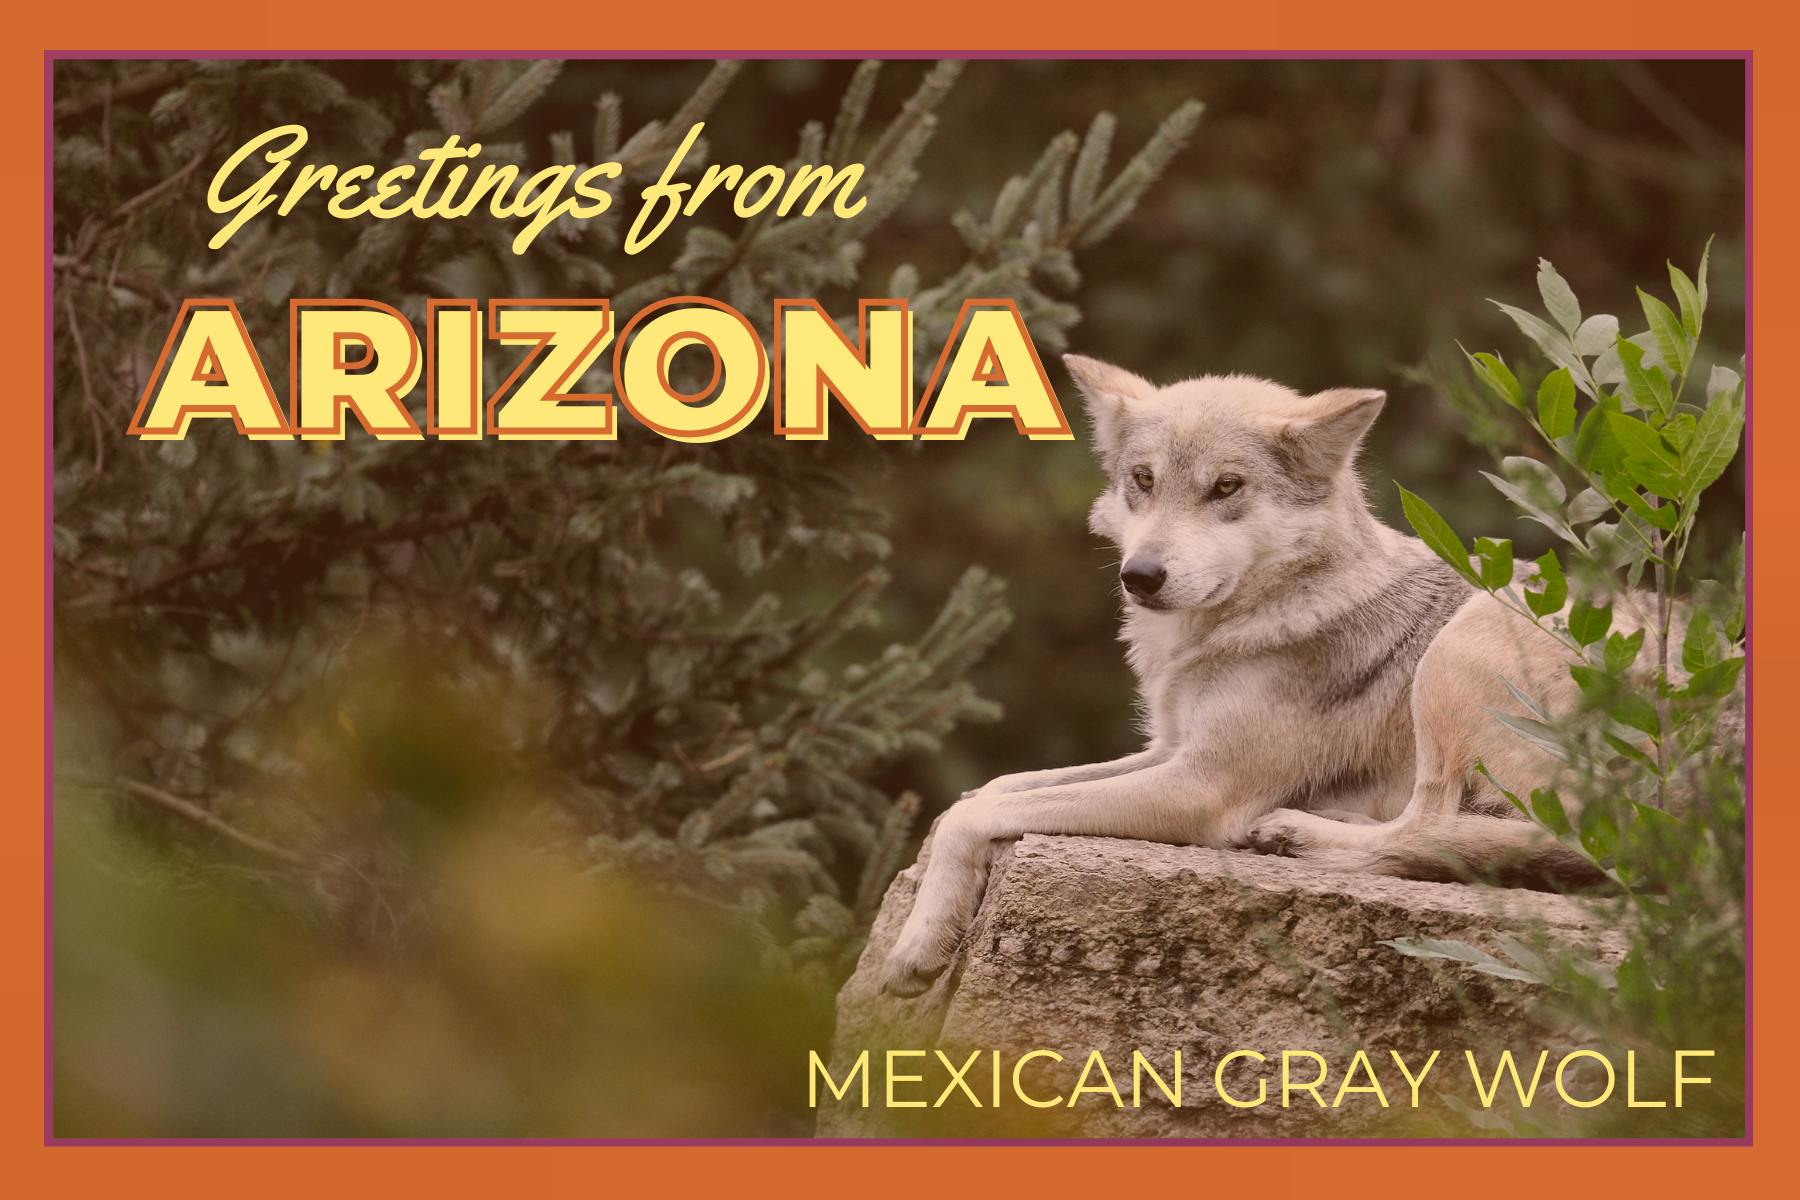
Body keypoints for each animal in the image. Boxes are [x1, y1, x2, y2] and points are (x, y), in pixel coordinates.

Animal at [879, 355, 1661, 998]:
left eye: (1226, 487)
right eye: (1143, 481)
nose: (1140, 576)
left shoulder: (1199, 786)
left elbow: (974, 812)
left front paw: (916, 945)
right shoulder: (1168, 749)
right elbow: (988, 791)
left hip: (1459, 650)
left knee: (1436, 827)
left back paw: (1296, 831)